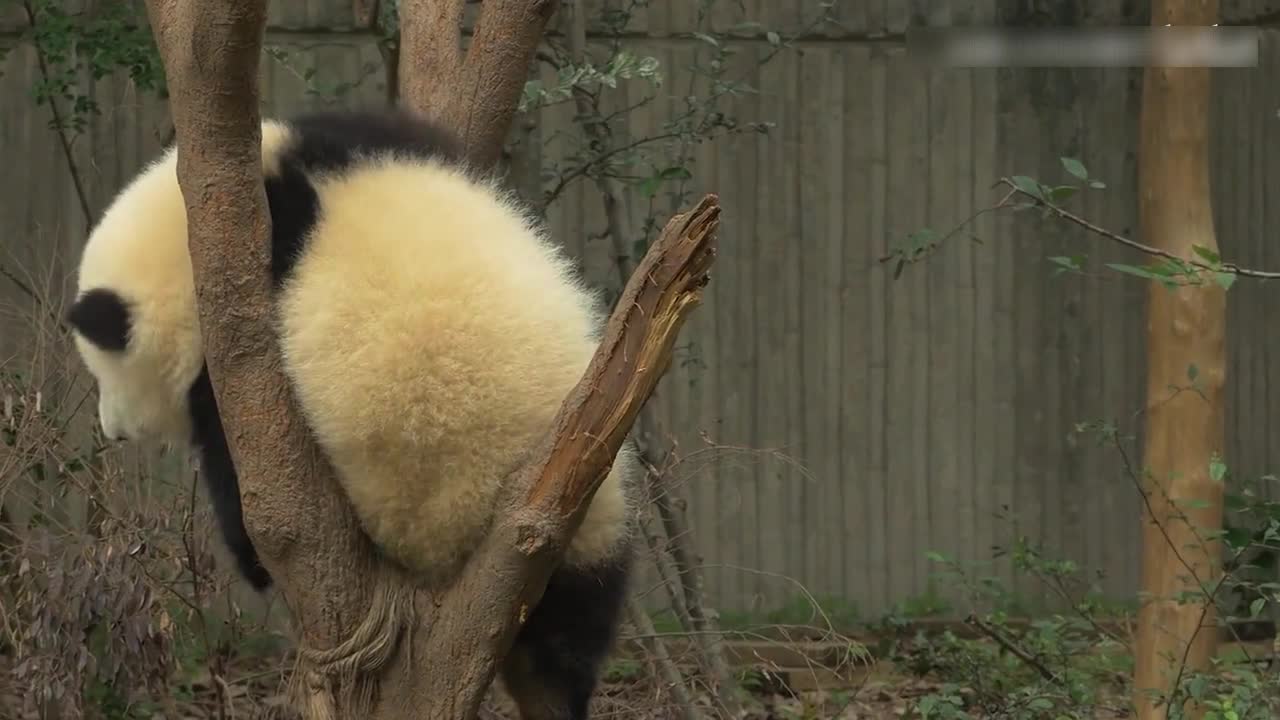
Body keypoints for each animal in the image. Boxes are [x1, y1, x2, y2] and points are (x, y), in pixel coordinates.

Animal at [64, 107, 645, 717]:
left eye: (104, 369)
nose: (112, 429)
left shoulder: (233, 363)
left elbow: (240, 484)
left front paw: (251, 558)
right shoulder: (363, 139)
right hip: (593, 513)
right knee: (574, 631)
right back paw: (558, 690)